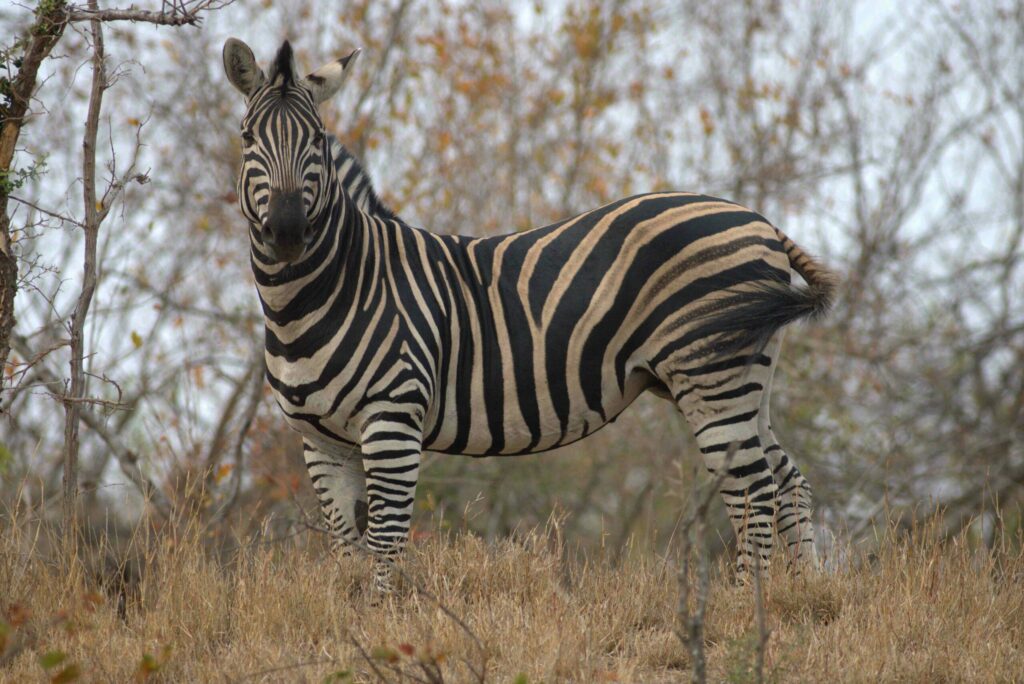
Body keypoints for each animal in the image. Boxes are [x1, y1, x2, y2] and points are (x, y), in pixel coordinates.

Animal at [222, 38, 836, 592]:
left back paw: (746, 605)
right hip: (745, 377)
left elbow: (386, 541)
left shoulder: (393, 418)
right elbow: (348, 548)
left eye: (317, 140)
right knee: (788, 480)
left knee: (754, 489)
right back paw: (804, 595)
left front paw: (383, 619)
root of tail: (759, 220)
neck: (318, 296)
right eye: (248, 137)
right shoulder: (321, 440)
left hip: (712, 377)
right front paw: (355, 622)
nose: (287, 232)